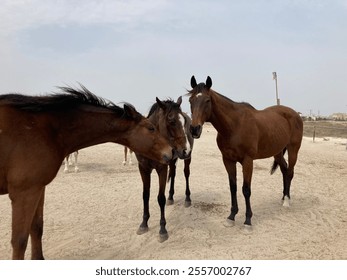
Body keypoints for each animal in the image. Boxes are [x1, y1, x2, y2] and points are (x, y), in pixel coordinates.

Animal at [0, 84, 174, 260]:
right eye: (151, 128)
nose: (171, 151)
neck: (44, 129)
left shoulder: (38, 188)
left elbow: (37, 228)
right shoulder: (24, 192)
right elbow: (19, 241)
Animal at [136, 95, 194, 241]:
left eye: (184, 121)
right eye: (171, 121)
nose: (186, 150)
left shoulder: (161, 169)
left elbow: (160, 198)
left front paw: (162, 229)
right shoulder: (143, 168)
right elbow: (145, 195)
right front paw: (144, 224)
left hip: (186, 160)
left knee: (186, 174)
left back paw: (187, 199)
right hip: (173, 160)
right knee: (173, 174)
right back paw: (171, 197)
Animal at [189, 76, 304, 228]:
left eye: (207, 100)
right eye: (190, 100)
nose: (194, 129)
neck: (234, 126)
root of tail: (295, 114)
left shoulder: (248, 161)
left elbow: (246, 189)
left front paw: (248, 220)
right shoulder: (227, 160)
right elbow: (233, 187)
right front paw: (231, 217)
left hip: (293, 149)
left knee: (290, 172)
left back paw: (286, 201)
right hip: (277, 152)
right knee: (284, 171)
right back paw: (283, 197)